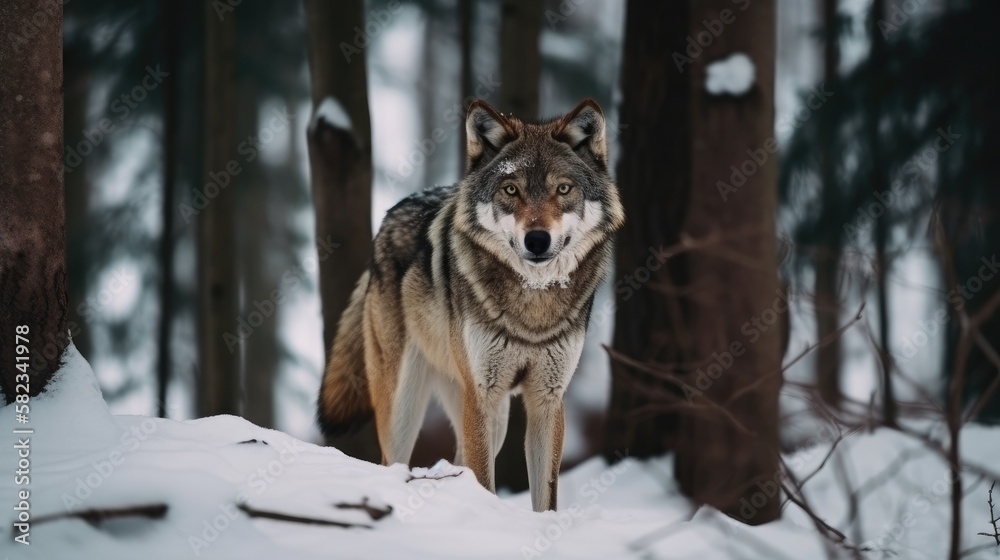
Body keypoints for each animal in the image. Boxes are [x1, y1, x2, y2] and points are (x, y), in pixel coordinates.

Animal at [317, 98, 624, 512]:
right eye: (511, 189)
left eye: (563, 189)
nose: (537, 240)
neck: (533, 303)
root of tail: (386, 220)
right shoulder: (481, 394)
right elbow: (485, 481)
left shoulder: (547, 399)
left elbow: (545, 497)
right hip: (407, 407)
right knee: (394, 461)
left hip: (491, 415)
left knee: (461, 461)